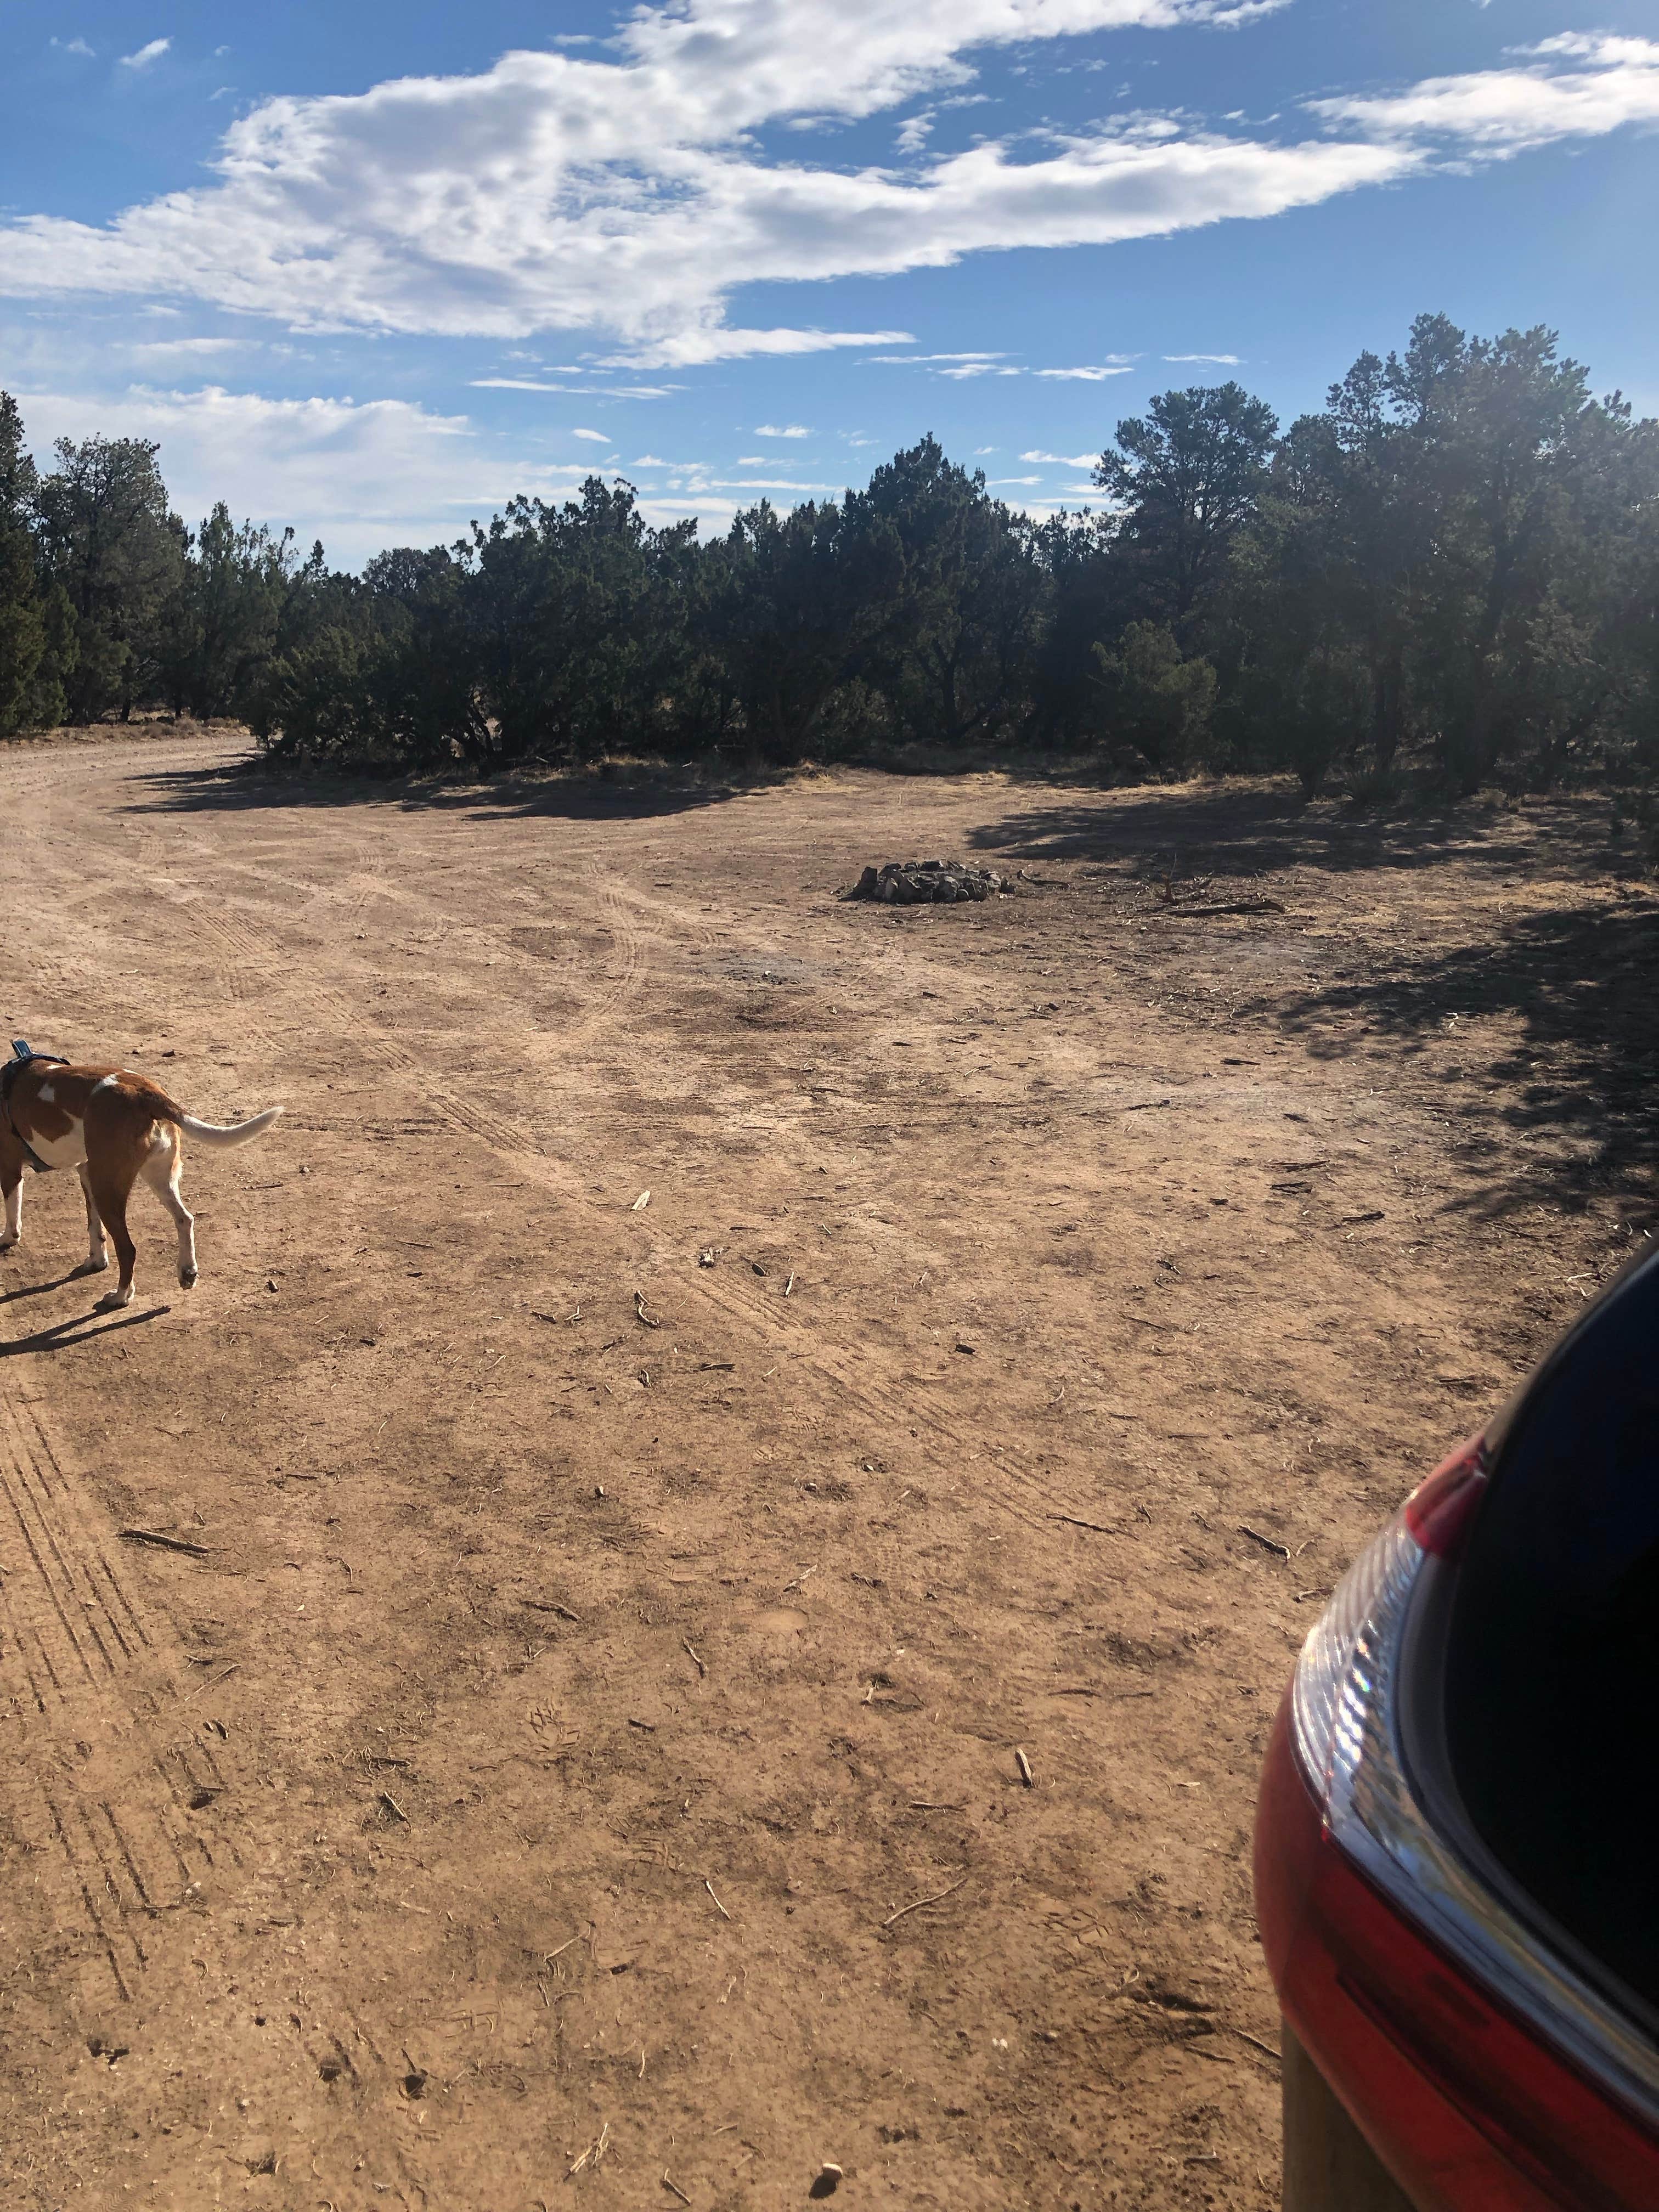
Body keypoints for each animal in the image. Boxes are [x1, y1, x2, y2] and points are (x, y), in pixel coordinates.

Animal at [0, 1053, 283, 1309]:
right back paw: (187, 1272)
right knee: (185, 1219)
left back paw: (121, 1297)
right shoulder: (86, 1172)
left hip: (109, 1189)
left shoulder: (10, 1169)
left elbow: (13, 1218)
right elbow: (95, 1230)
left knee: (128, 1249)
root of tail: (147, 1093)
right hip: (153, 1177)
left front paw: (7, 1239)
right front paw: (96, 1261)